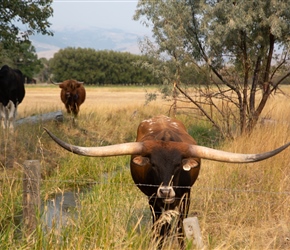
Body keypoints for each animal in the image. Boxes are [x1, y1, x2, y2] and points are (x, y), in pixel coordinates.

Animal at [44, 116, 290, 249]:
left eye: (178, 165)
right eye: (153, 165)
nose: (165, 190)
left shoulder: (185, 196)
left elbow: (181, 227)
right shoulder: (153, 200)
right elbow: (159, 228)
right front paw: (158, 244)